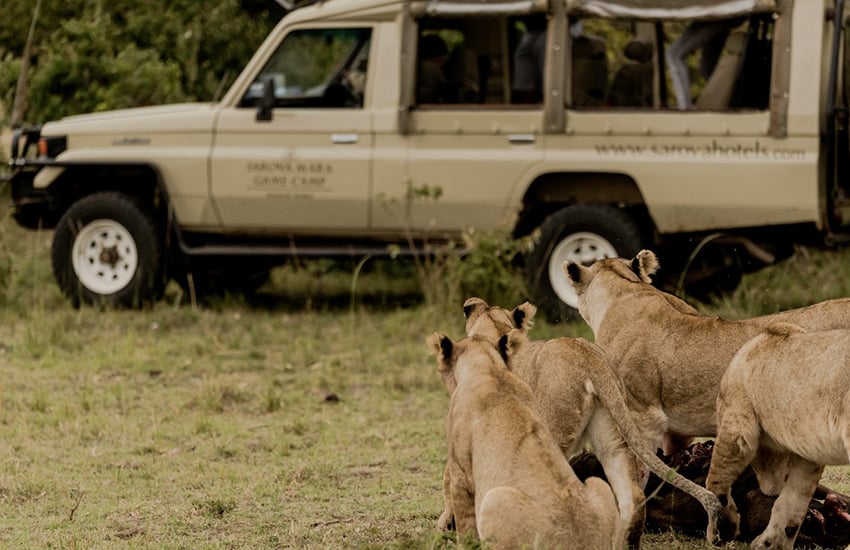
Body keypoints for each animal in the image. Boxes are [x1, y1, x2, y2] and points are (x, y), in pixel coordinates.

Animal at [428, 334, 620, 548]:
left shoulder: (460, 472)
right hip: (599, 484)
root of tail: (581, 543)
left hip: (494, 499)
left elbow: (464, 526)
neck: (490, 368)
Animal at [704, 326, 848, 548]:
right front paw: (770, 543)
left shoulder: (736, 426)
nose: (771, 488)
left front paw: (720, 529)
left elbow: (714, 483)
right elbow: (791, 502)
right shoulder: (808, 454)